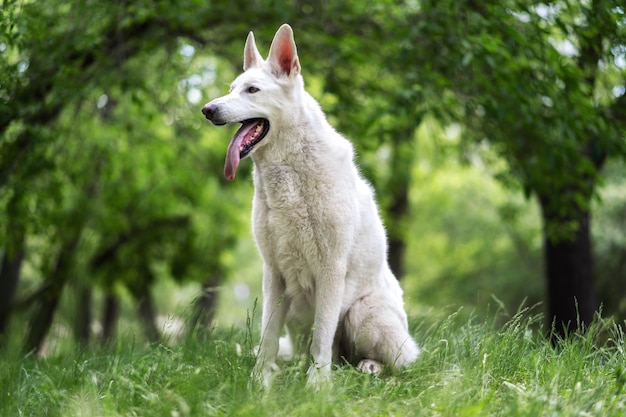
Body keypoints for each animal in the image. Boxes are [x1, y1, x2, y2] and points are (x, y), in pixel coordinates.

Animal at [202, 23, 416, 386]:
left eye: (252, 90)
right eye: (230, 89)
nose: (207, 109)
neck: (289, 172)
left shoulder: (331, 269)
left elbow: (323, 337)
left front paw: (317, 385)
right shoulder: (274, 273)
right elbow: (267, 336)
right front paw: (260, 381)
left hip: (364, 315)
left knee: (397, 360)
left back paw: (368, 366)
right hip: (297, 313)